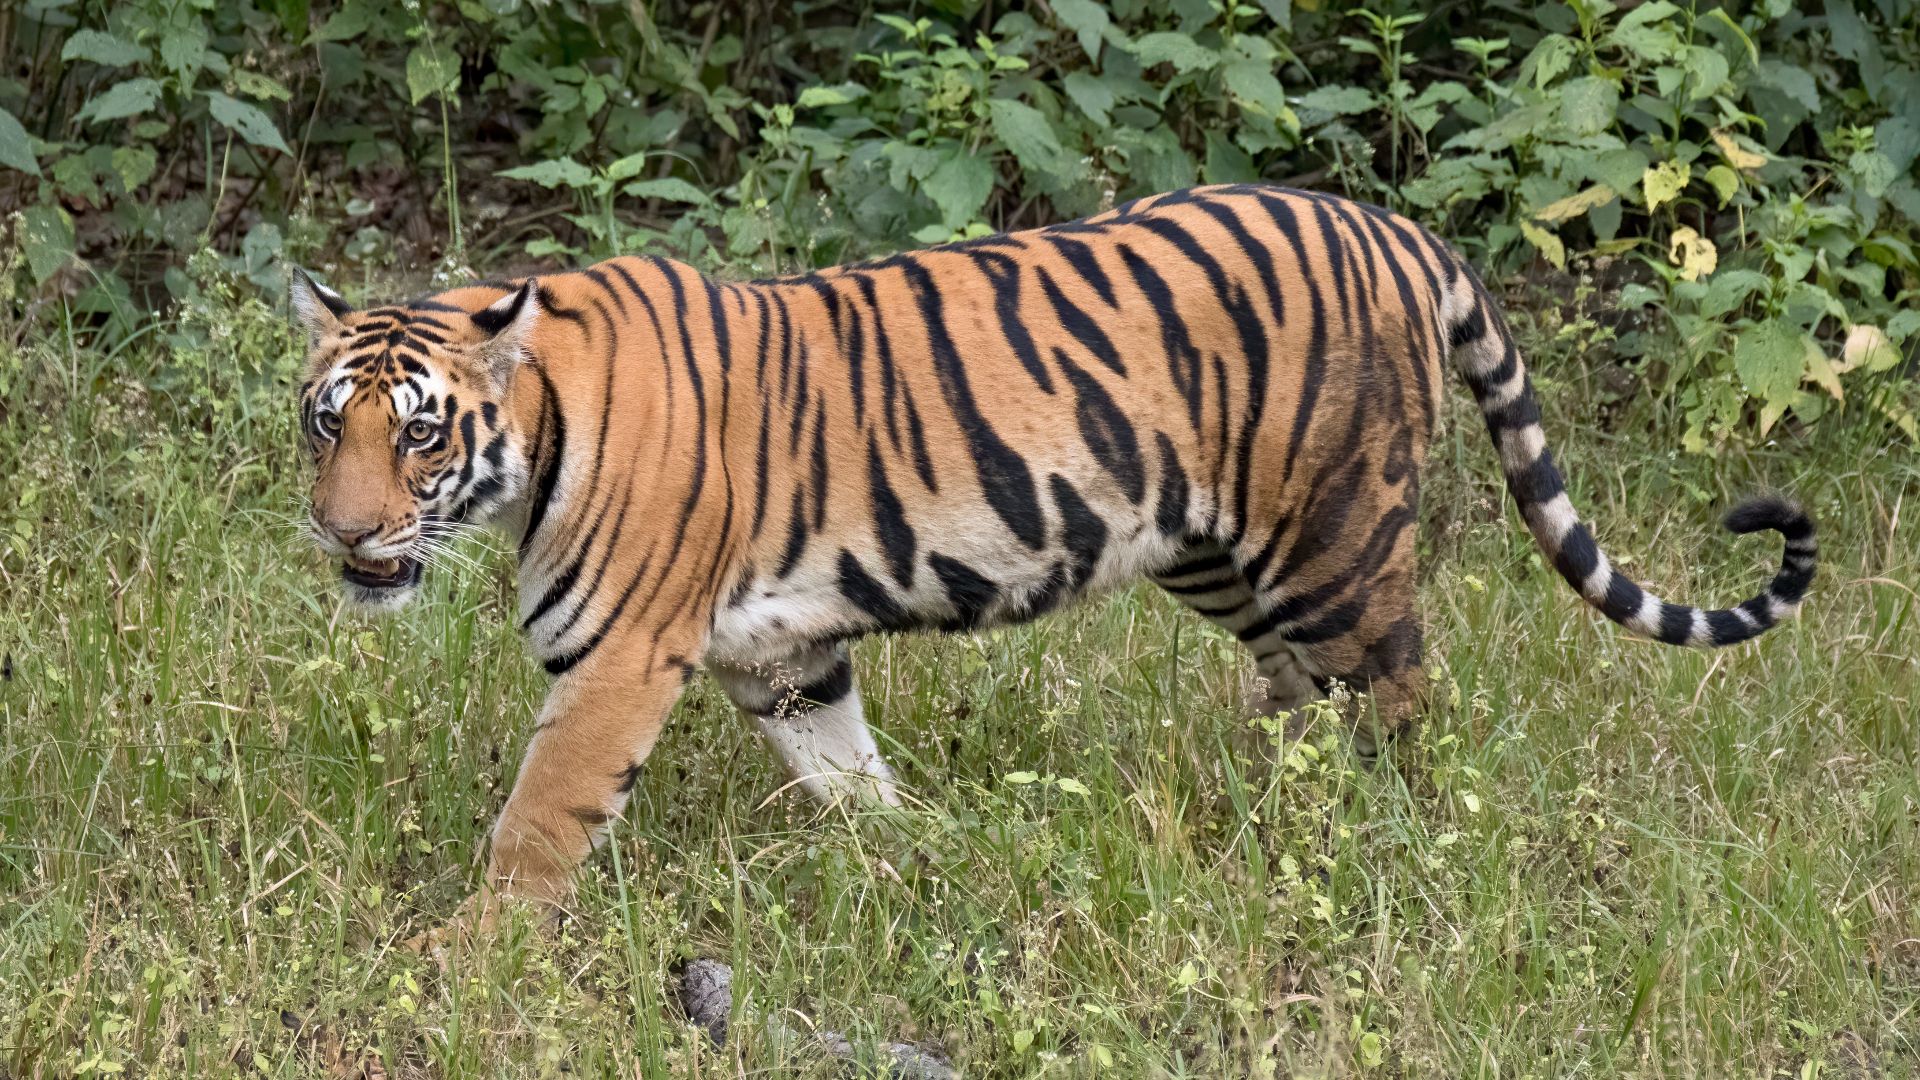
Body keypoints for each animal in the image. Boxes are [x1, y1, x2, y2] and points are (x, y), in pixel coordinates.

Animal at [292, 183, 1816, 919]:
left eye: (420, 436)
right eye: (326, 424)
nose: (346, 532)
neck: (534, 441)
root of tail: (1395, 227)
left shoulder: (618, 662)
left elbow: (539, 821)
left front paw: (474, 957)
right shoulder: (781, 655)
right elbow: (848, 775)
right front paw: (917, 858)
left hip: (1336, 539)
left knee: (1399, 703)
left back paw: (1394, 848)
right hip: (1217, 551)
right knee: (1297, 695)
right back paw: (1261, 816)